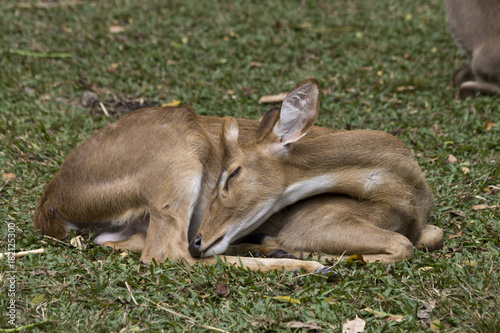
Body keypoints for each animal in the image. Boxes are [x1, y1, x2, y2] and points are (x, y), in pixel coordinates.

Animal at [33, 79, 444, 272]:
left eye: (232, 175)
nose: (200, 239)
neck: (404, 191)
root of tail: (51, 205)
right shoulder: (315, 220)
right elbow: (402, 244)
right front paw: (311, 255)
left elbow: (430, 236)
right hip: (177, 158)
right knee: (166, 254)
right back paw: (303, 263)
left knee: (122, 243)